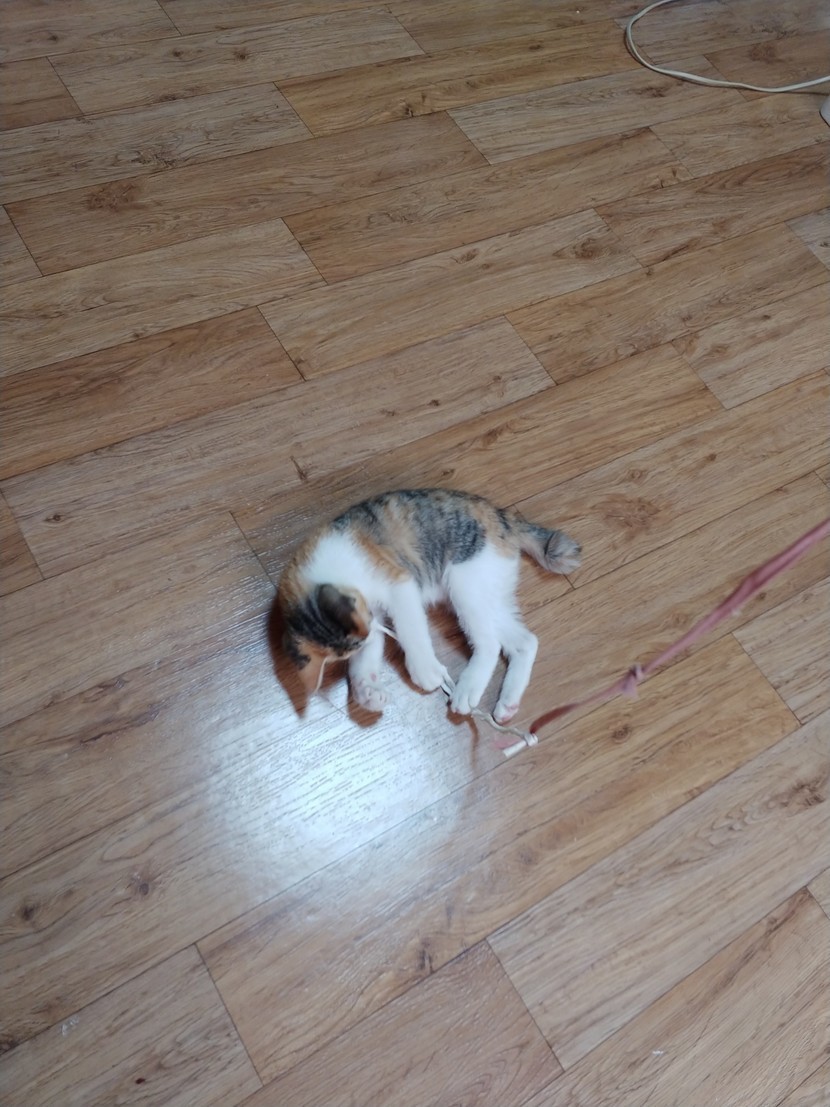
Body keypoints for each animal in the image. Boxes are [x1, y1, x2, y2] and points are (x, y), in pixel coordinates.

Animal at [278, 488, 580, 724]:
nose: (373, 628)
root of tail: (503, 516)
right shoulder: (367, 621)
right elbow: (365, 658)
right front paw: (367, 691)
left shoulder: (399, 583)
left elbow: (411, 629)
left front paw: (424, 669)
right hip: (490, 590)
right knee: (524, 641)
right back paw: (507, 704)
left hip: (464, 580)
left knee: (490, 643)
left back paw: (467, 689)